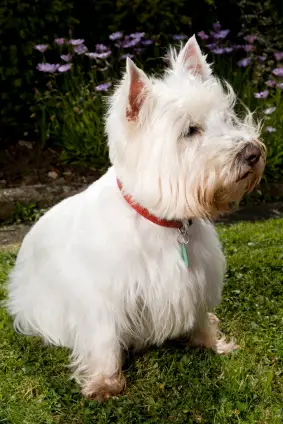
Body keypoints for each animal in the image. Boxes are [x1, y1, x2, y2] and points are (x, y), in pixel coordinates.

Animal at [7, 36, 268, 400]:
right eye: (190, 130)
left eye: (227, 119)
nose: (253, 153)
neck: (163, 222)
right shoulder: (103, 298)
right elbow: (103, 338)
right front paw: (105, 383)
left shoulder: (197, 280)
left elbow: (201, 314)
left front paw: (210, 343)